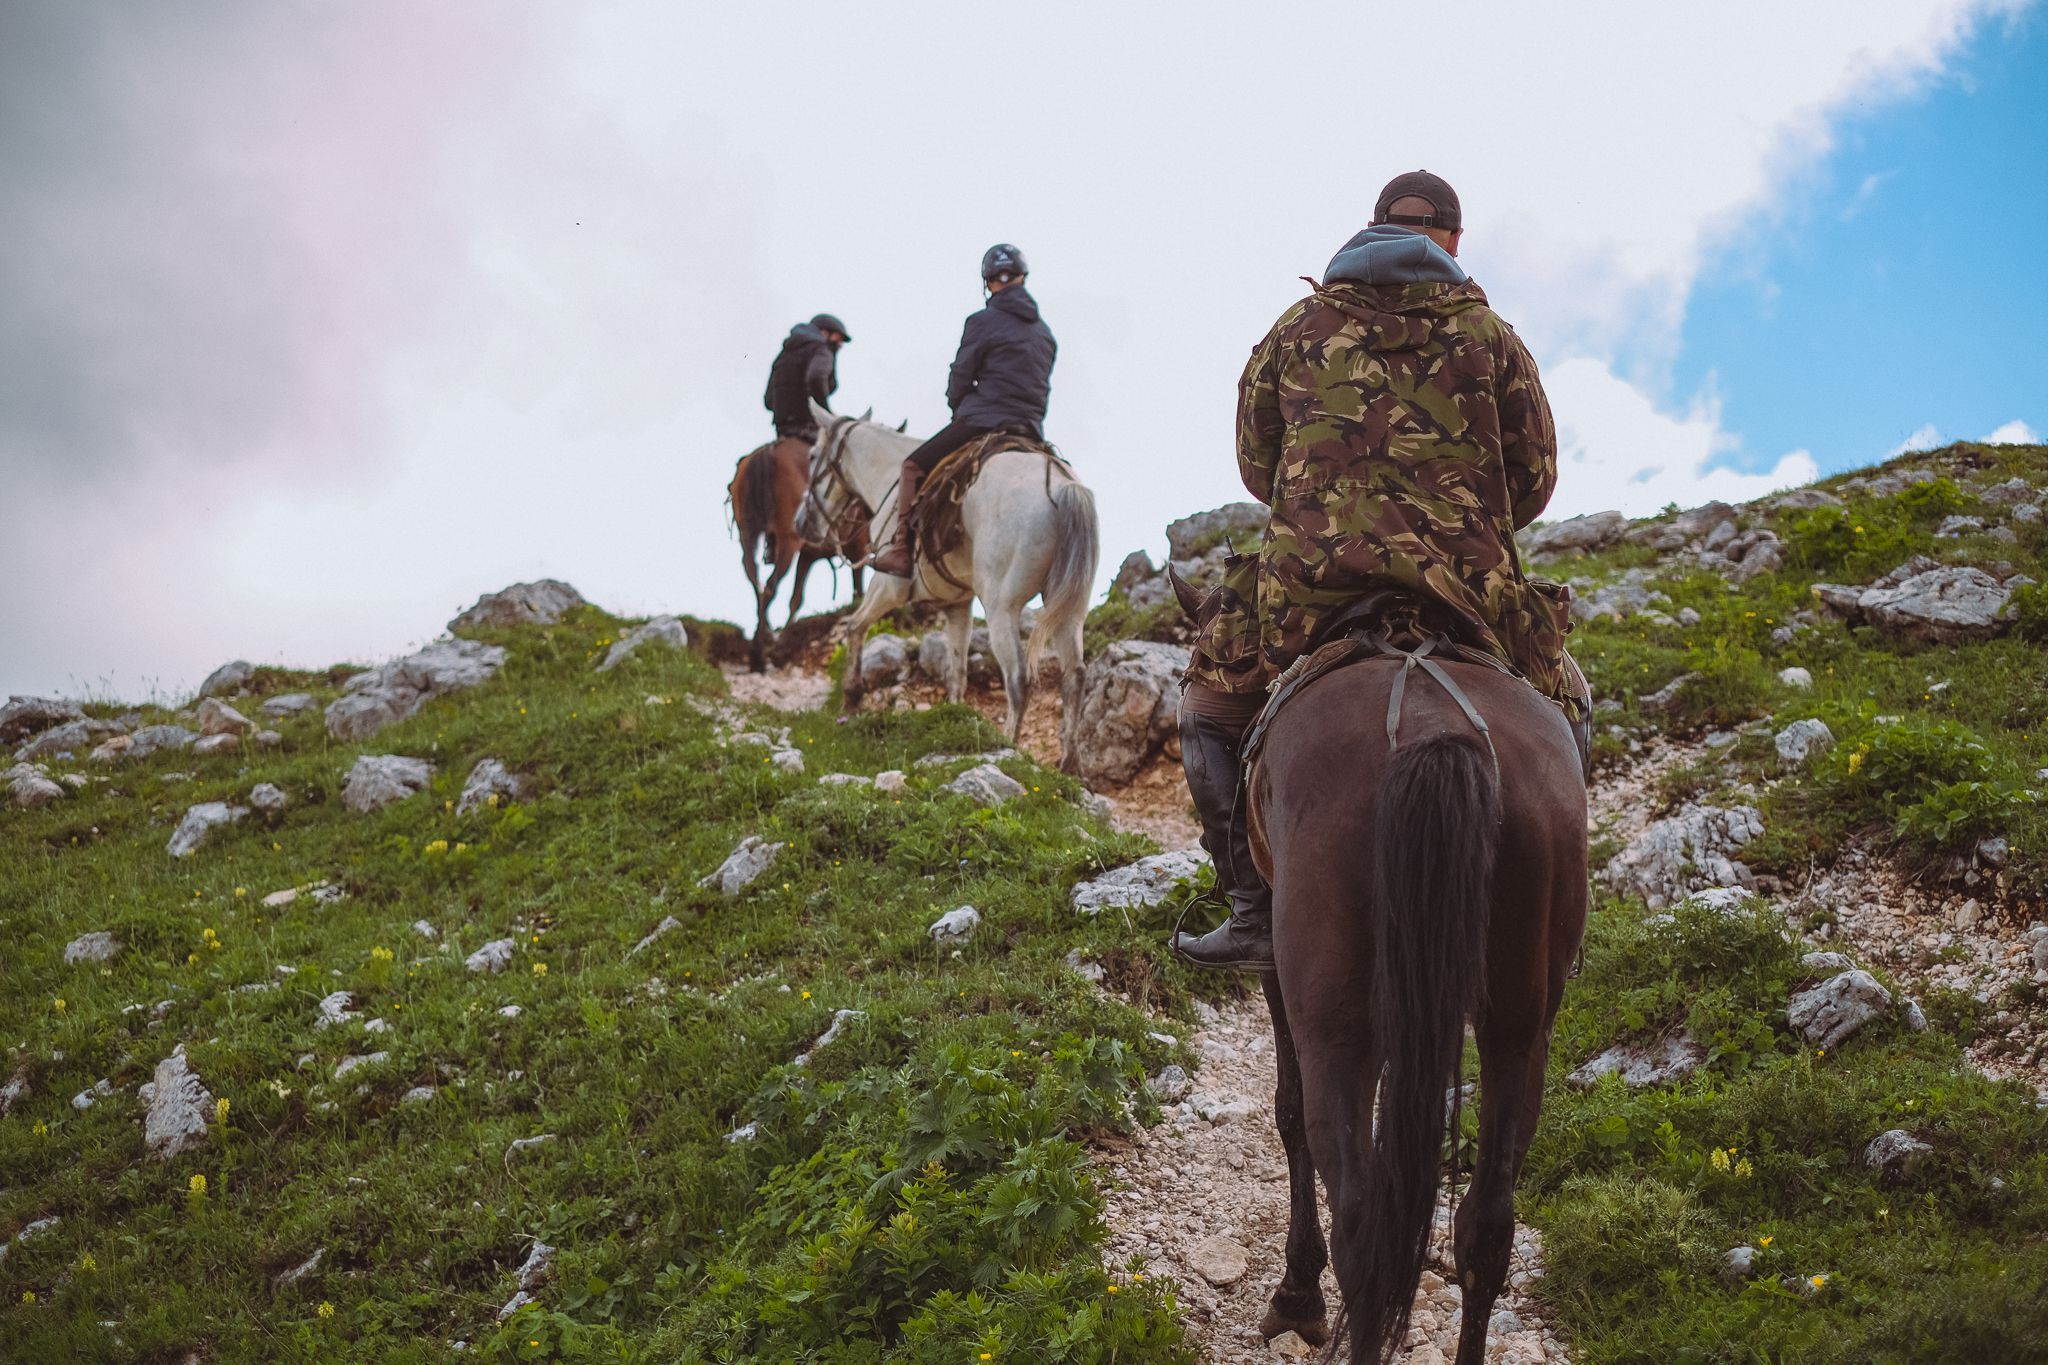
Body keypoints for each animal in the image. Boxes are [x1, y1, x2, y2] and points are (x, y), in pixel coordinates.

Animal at [729, 437, 864, 671]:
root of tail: (769, 450)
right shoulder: (860, 550)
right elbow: (859, 592)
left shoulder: (808, 556)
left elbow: (796, 598)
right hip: (788, 541)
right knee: (770, 587)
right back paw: (760, 654)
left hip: (747, 533)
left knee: (755, 580)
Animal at [790, 397, 1097, 769]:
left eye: (811, 456)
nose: (802, 524)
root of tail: (1060, 487)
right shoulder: (957, 604)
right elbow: (957, 670)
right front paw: (954, 716)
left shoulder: (888, 584)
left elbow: (855, 625)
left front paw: (851, 697)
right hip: (1069, 611)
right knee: (1074, 675)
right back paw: (1070, 765)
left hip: (1001, 608)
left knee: (1018, 679)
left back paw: (1008, 748)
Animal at [1171, 577, 1581, 1365]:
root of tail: (1430, 733)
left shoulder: (1280, 975)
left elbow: (1289, 1110)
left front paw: (1296, 1296)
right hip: (1521, 1023)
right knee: (1487, 1224)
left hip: (1333, 1018)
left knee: (1358, 1221)